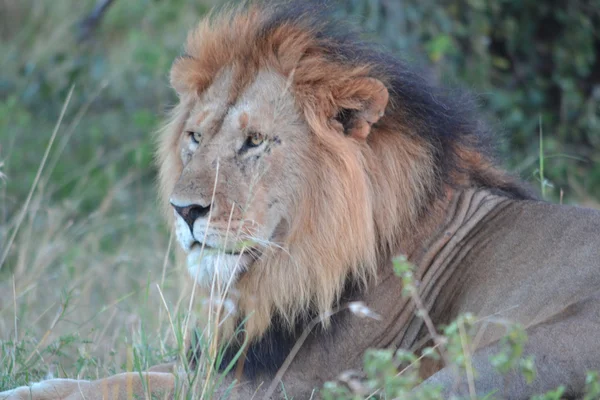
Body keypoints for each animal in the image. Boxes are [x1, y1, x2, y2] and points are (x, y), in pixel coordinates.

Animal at [4, 1, 600, 398]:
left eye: (254, 141)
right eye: (195, 136)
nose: (184, 210)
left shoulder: (286, 383)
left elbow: (129, 381)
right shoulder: (239, 359)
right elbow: (118, 373)